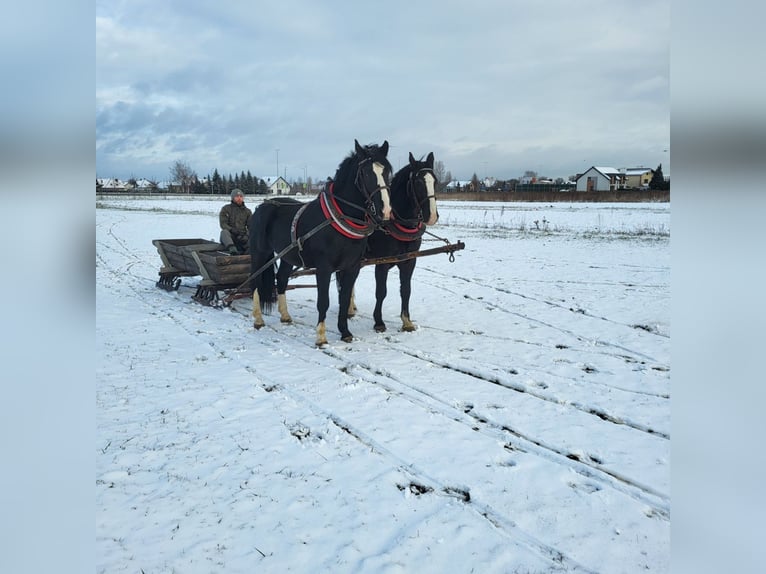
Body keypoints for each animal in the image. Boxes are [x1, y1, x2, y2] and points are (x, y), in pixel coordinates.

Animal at [252, 140, 392, 346]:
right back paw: (258, 319)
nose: (386, 211)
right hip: (260, 253)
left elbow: (344, 298)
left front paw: (345, 332)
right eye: (366, 173)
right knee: (255, 280)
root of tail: (263, 206)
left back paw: (285, 316)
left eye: (388, 171)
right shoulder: (324, 268)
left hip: (287, 256)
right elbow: (323, 301)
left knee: (282, 279)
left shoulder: (352, 267)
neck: (338, 218)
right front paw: (321, 336)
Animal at [364, 151, 438, 336]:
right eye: (418, 182)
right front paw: (379, 322)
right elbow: (381, 292)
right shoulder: (382, 264)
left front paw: (407, 321)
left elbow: (406, 290)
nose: (432, 216)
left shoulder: (409, 261)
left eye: (435, 180)